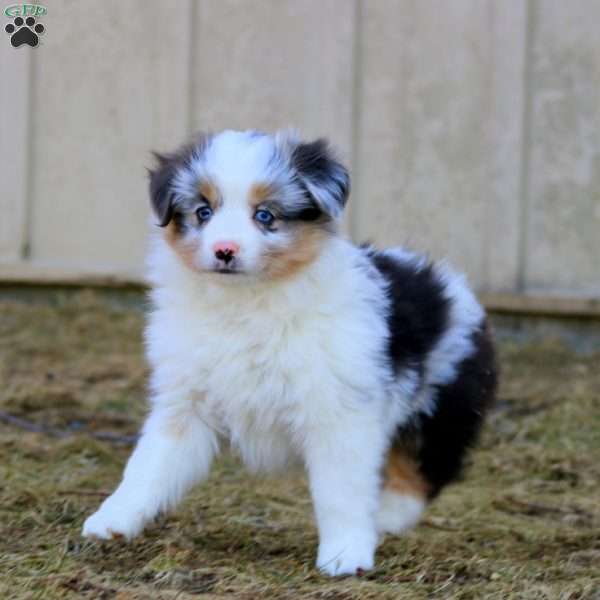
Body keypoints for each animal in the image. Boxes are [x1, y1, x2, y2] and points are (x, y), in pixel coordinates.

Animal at [83, 129, 496, 576]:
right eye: (203, 212)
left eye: (265, 215)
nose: (224, 250)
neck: (246, 303)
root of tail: (448, 281)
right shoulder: (185, 404)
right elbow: (148, 466)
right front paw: (111, 520)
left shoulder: (338, 413)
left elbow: (340, 490)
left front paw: (345, 554)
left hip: (444, 404)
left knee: (423, 469)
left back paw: (385, 517)